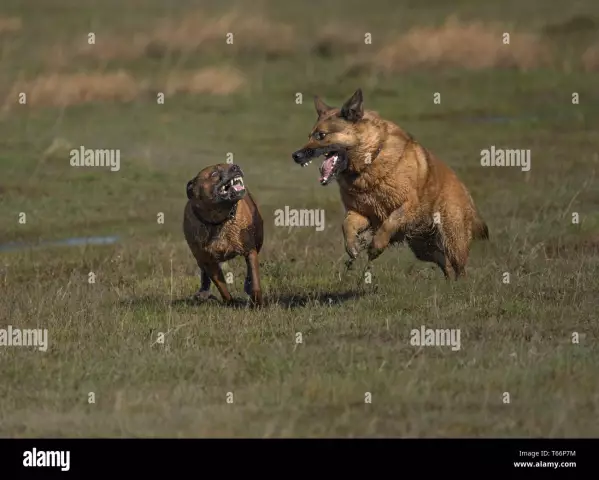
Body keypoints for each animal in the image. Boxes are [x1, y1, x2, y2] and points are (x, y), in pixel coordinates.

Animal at [184, 163, 264, 306]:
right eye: (214, 173)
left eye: (230, 165)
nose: (235, 167)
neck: (219, 220)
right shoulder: (208, 261)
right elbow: (221, 286)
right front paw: (229, 302)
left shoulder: (250, 250)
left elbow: (254, 277)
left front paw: (257, 301)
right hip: (199, 258)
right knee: (204, 273)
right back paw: (204, 291)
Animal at [292, 88, 490, 280]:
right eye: (309, 136)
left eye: (321, 135)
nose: (295, 155)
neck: (369, 162)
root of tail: (465, 190)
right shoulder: (360, 213)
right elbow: (346, 225)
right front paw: (352, 246)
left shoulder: (408, 205)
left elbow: (390, 222)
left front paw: (376, 247)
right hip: (422, 247)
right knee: (446, 265)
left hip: (453, 238)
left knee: (460, 268)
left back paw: (460, 286)